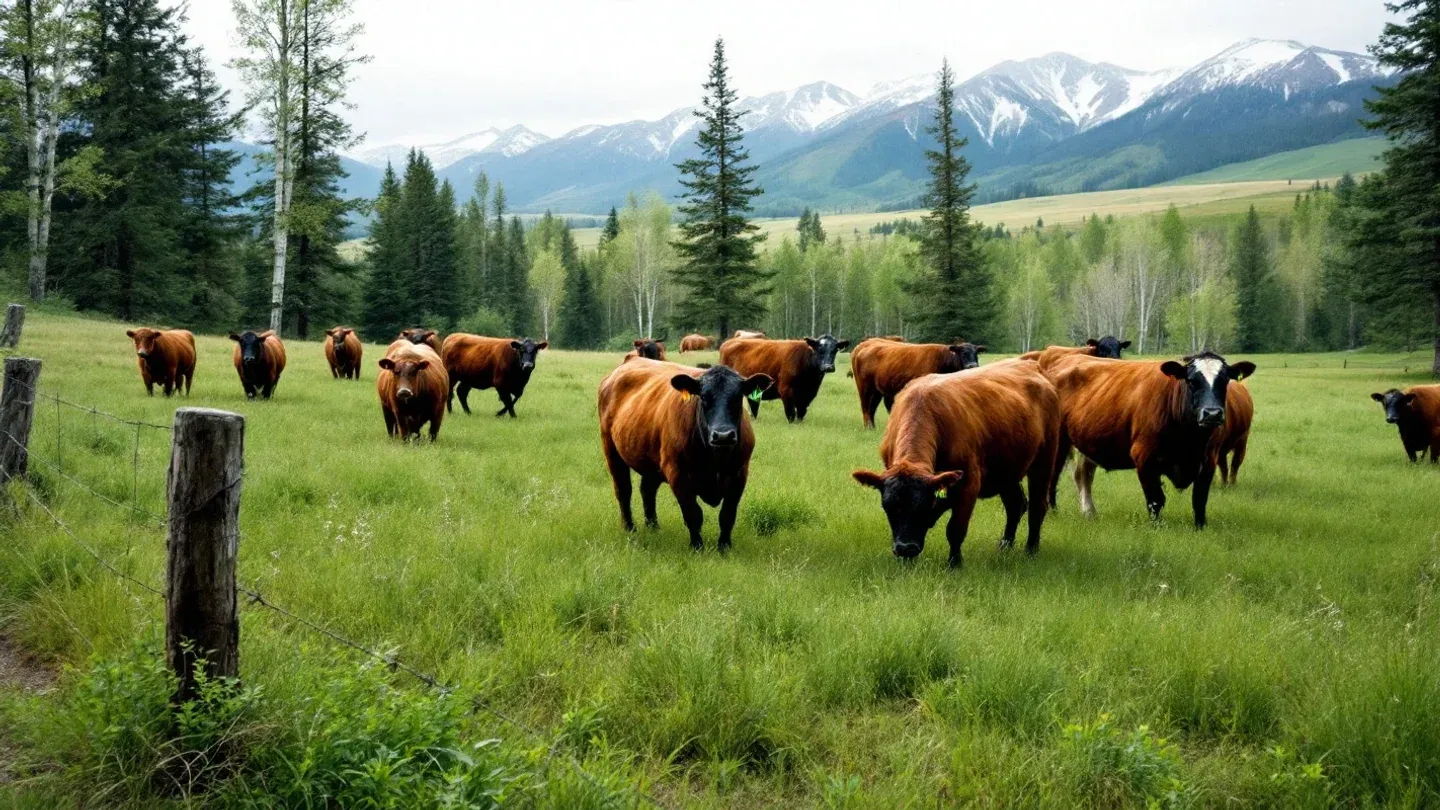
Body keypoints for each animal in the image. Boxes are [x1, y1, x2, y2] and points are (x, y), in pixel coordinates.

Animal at [598, 358, 771, 551]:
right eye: (703, 397)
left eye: (738, 397)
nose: (723, 435)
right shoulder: (678, 475)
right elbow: (693, 514)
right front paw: (697, 547)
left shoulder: (739, 475)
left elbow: (727, 515)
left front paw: (724, 547)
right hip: (612, 451)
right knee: (623, 490)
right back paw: (629, 528)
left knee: (647, 490)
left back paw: (653, 526)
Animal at [720, 334, 849, 422]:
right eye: (819, 349)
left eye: (835, 350)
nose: (828, 367)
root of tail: (729, 342)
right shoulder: (786, 390)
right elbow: (790, 413)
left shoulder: (808, 395)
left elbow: (801, 413)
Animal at [849, 340, 985, 428]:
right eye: (963, 353)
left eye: (976, 354)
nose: (972, 365)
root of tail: (863, 346)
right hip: (864, 388)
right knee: (865, 406)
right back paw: (868, 427)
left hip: (877, 391)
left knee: (872, 408)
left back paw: (873, 427)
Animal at [852, 360, 1060, 568]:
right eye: (888, 506)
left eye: (924, 506)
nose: (906, 547)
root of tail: (1030, 364)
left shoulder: (968, 485)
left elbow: (955, 529)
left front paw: (955, 563)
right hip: (1007, 471)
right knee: (1015, 505)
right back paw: (1005, 545)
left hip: (1044, 461)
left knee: (1037, 506)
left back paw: (1031, 549)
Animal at [1047, 351, 1256, 528]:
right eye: (1191, 381)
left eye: (1225, 380)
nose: (1212, 413)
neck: (1189, 438)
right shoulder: (1144, 457)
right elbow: (1156, 499)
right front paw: (1156, 527)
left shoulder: (1208, 460)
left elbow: (1199, 498)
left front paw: (1200, 526)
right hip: (1059, 443)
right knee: (1054, 476)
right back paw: (1053, 511)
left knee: (1083, 475)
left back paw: (1089, 512)